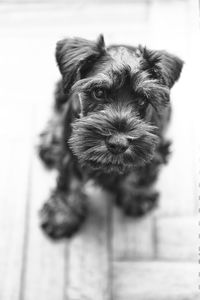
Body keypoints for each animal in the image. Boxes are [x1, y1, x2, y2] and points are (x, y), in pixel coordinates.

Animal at [38, 34, 184, 239]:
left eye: (143, 100)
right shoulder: (71, 153)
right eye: (98, 92)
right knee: (57, 111)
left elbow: (141, 172)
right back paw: (50, 143)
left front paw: (137, 196)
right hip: (62, 88)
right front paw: (61, 215)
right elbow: (69, 182)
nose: (118, 143)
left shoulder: (154, 148)